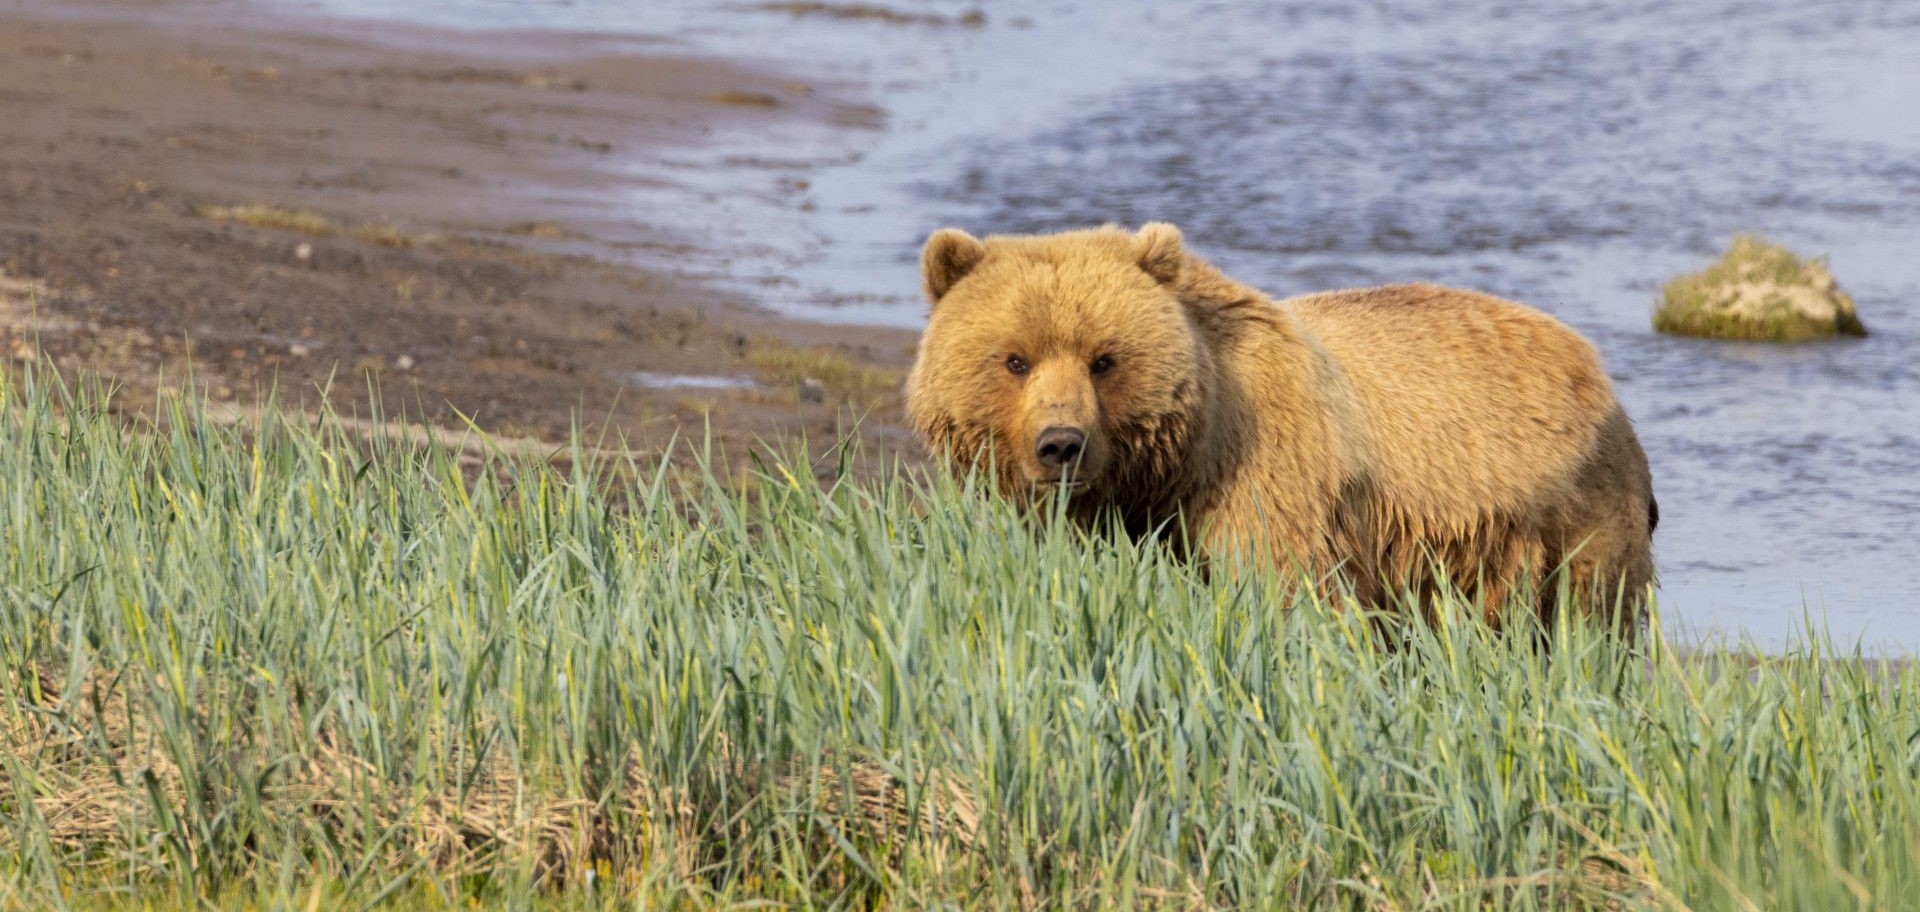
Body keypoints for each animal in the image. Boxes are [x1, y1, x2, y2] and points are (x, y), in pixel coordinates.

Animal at [904, 222, 1656, 631]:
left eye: (1105, 359)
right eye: (1014, 359)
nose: (1061, 444)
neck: (1183, 458)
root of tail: (1598, 368)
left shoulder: (1271, 483)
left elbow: (1289, 597)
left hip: (1568, 517)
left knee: (1592, 624)